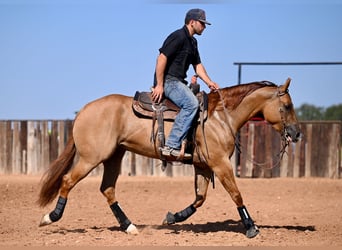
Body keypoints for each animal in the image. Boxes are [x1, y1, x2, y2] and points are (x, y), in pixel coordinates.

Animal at [36, 77, 300, 238]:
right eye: (287, 106)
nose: (296, 133)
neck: (220, 117)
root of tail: (84, 110)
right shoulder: (220, 164)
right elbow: (236, 194)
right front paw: (251, 227)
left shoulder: (203, 166)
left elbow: (200, 199)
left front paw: (173, 217)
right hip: (91, 158)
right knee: (68, 181)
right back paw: (50, 217)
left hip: (113, 157)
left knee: (107, 189)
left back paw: (129, 226)